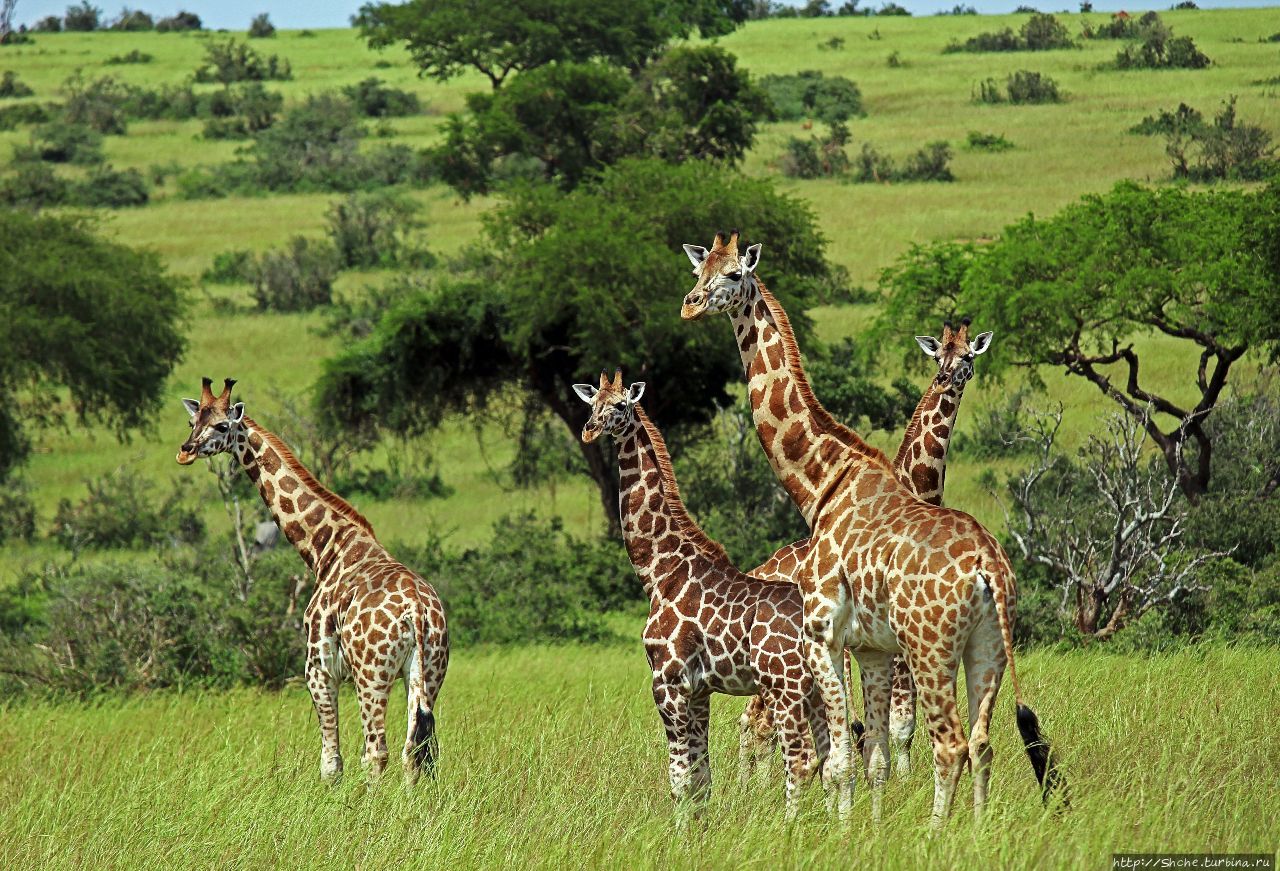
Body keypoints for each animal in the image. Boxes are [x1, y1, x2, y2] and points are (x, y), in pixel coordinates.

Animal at [175, 376, 445, 783]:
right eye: (194, 421)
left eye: (222, 425)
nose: (186, 451)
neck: (325, 549)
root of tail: (419, 613)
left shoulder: (318, 668)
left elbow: (331, 763)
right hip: (427, 672)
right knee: (415, 750)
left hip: (372, 675)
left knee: (376, 752)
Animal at [573, 371, 829, 819]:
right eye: (592, 403)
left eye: (620, 405)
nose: (589, 429)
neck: (659, 572)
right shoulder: (700, 689)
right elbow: (701, 777)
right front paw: (700, 828)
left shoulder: (667, 681)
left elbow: (679, 777)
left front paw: (680, 831)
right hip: (819, 686)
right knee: (837, 756)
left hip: (785, 686)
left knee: (801, 759)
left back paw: (789, 827)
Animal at [742, 316, 998, 778]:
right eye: (939, 355)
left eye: (969, 356)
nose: (947, 378)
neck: (916, 486)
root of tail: (759, 568)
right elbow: (899, 724)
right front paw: (898, 783)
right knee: (758, 723)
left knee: (755, 722)